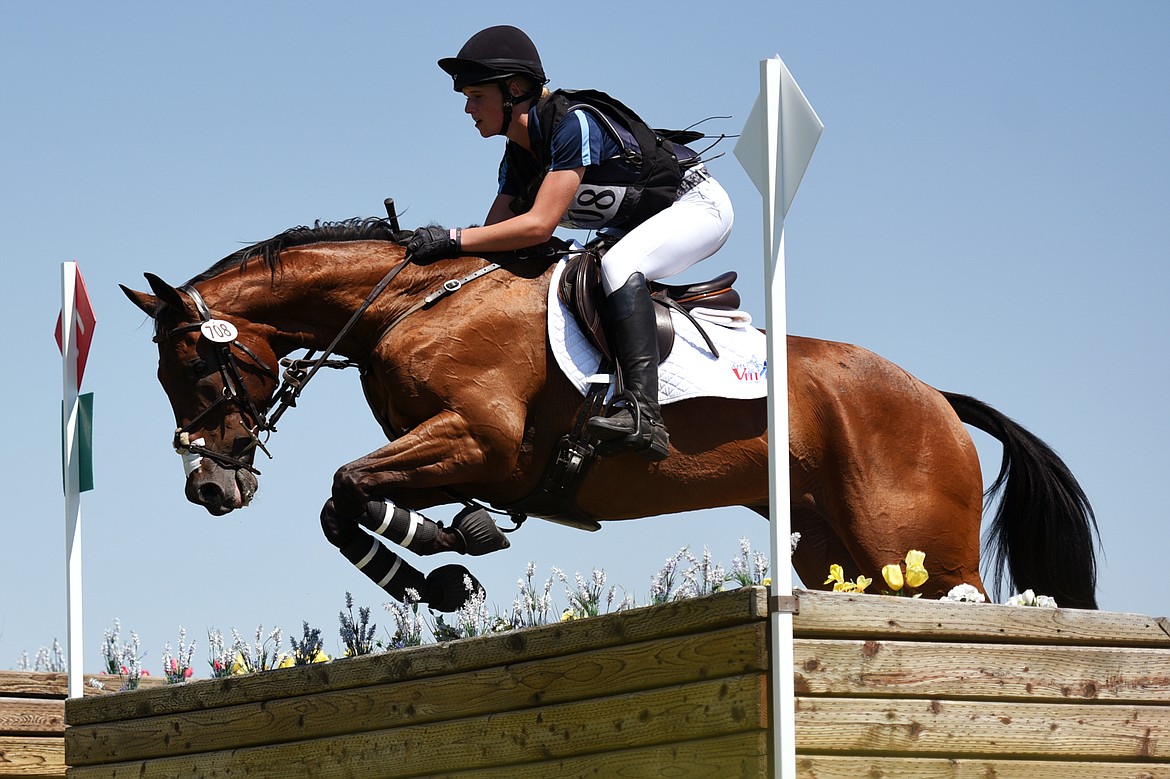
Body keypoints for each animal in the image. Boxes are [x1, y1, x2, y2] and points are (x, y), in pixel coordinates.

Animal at [123, 215, 1099, 608]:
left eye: (192, 367)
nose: (209, 487)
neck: (411, 306)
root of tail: (934, 396)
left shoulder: (477, 442)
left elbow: (348, 485)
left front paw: (450, 550)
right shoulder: (454, 452)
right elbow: (341, 506)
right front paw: (439, 576)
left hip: (919, 551)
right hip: (836, 555)